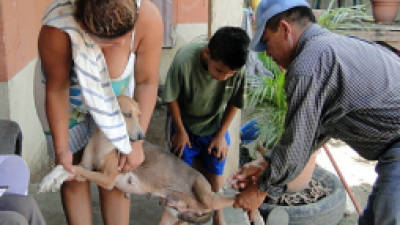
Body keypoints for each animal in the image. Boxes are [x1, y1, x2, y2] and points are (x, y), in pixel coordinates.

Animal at [38, 96, 234, 224]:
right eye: (127, 115)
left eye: (139, 115)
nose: (141, 136)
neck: (103, 142)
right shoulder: (86, 168)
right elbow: (67, 168)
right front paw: (50, 180)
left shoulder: (107, 178)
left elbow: (74, 169)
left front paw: (50, 180)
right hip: (172, 214)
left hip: (208, 197)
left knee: (228, 199)